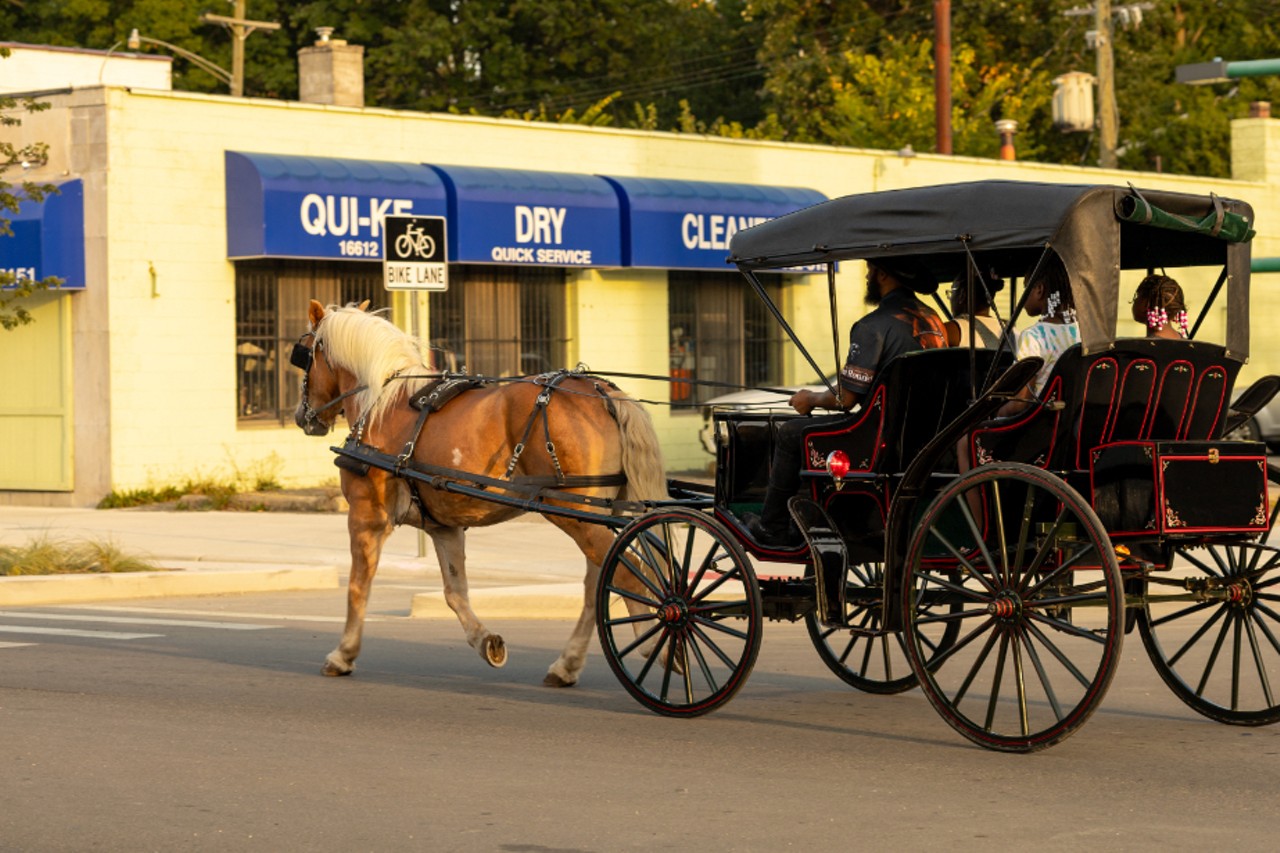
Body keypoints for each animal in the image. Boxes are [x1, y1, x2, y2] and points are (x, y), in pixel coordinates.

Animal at [291, 298, 670, 686]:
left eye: (303, 355)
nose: (302, 417)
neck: (380, 403)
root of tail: (604, 393)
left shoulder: (366, 515)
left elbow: (357, 586)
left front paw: (343, 654)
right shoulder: (443, 526)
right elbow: (454, 593)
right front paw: (486, 641)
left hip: (577, 514)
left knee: (627, 575)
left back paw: (657, 645)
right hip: (598, 513)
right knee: (602, 582)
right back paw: (568, 664)